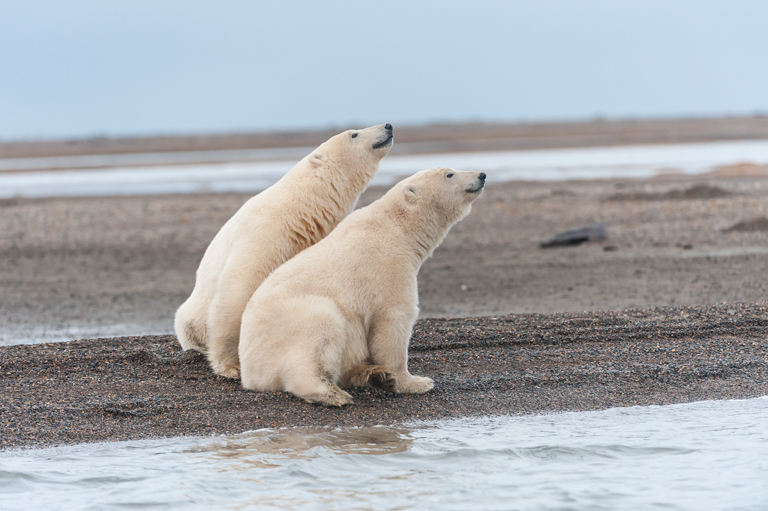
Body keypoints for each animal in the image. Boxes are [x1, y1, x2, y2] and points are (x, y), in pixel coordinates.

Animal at [172, 124, 390, 380]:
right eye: (353, 134)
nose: (388, 126)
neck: (299, 210)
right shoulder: (264, 234)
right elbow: (238, 290)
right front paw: (231, 366)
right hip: (192, 314)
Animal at [240, 168, 486, 408]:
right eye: (449, 174)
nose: (481, 175)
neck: (398, 228)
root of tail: (248, 373)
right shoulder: (388, 266)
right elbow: (392, 321)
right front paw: (416, 382)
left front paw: (390, 377)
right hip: (288, 327)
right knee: (319, 333)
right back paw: (333, 394)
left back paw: (374, 375)